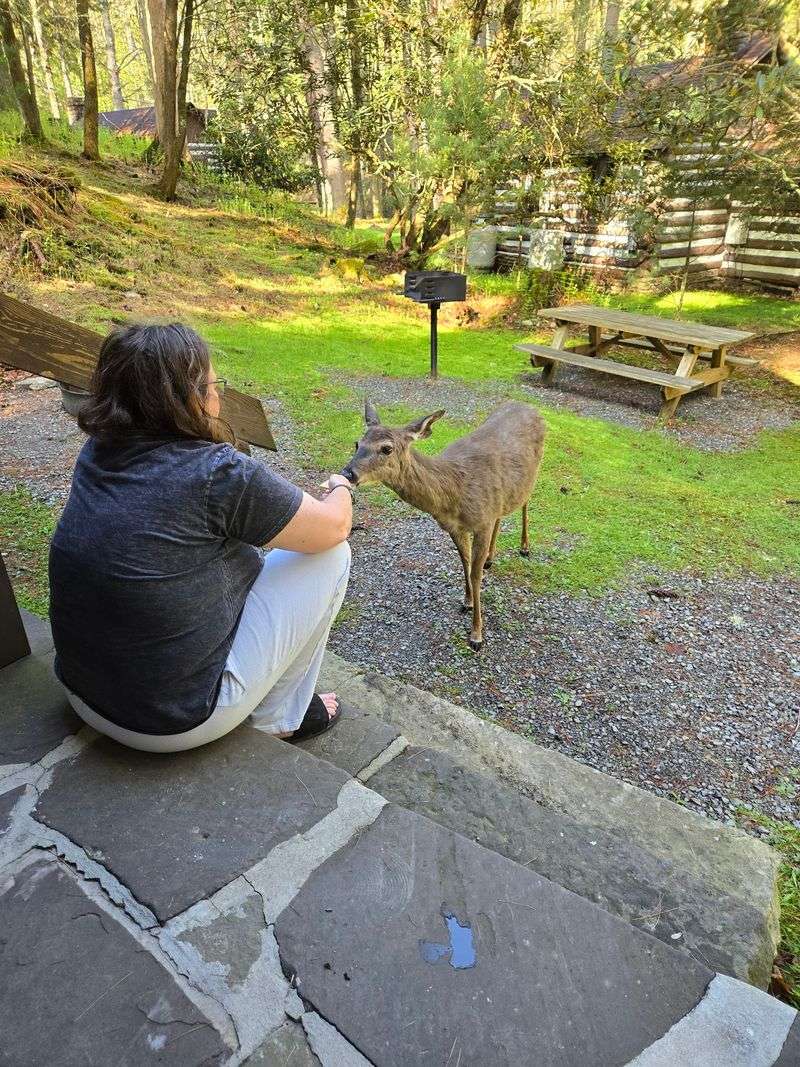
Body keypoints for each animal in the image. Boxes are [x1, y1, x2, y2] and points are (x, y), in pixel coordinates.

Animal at [341, 399, 546, 651]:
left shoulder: (482, 523)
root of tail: (529, 406)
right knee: (503, 511)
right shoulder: (455, 527)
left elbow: (476, 574)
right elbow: (465, 563)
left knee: (526, 501)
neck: (455, 491)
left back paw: (525, 547)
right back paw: (490, 558)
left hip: (534, 472)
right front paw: (467, 601)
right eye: (357, 443)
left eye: (386, 448)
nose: (348, 473)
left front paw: (476, 635)